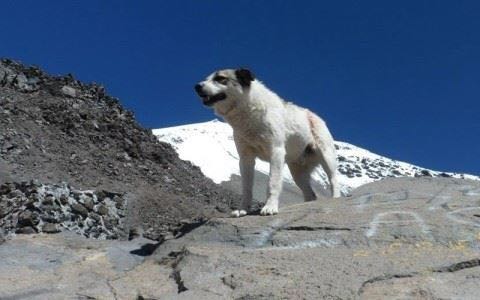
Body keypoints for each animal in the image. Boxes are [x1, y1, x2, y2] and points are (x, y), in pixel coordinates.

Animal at [193, 69, 340, 217]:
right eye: (207, 78)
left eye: (220, 78)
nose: (197, 86)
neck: (248, 112)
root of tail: (316, 117)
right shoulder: (245, 159)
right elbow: (246, 187)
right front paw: (243, 209)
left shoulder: (276, 152)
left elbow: (272, 182)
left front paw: (270, 207)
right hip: (297, 173)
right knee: (311, 194)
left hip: (326, 157)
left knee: (333, 179)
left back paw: (335, 198)